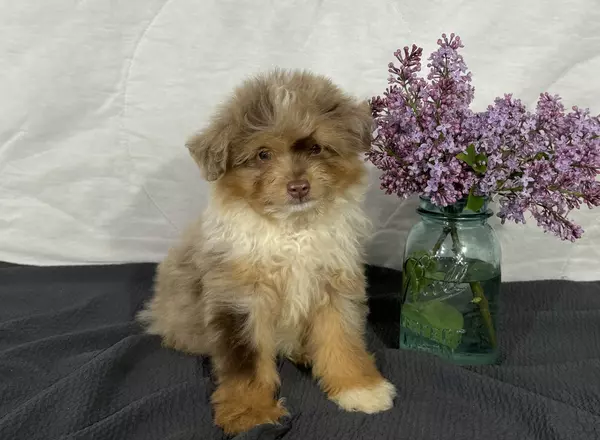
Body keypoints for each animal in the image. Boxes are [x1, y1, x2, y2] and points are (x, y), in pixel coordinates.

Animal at [138, 69, 396, 434]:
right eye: (263, 155)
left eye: (316, 148)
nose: (299, 187)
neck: (292, 228)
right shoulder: (240, 299)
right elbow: (246, 361)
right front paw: (250, 413)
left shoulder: (334, 283)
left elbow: (342, 339)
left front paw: (359, 388)